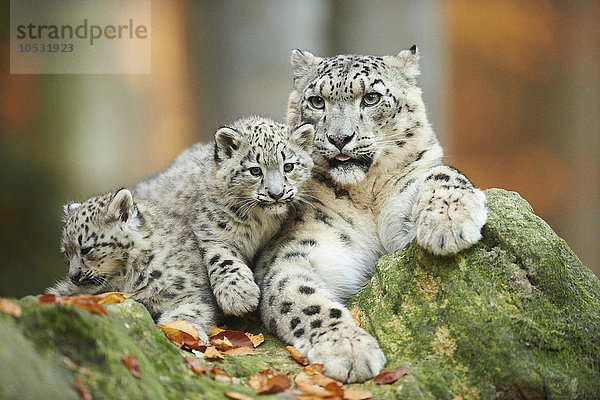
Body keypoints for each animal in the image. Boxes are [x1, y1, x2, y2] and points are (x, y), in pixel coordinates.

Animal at [254, 47, 488, 382]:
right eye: (317, 101)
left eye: (372, 98)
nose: (339, 138)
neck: (368, 195)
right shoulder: (295, 251)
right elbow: (304, 298)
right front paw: (348, 348)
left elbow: (442, 172)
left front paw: (447, 221)